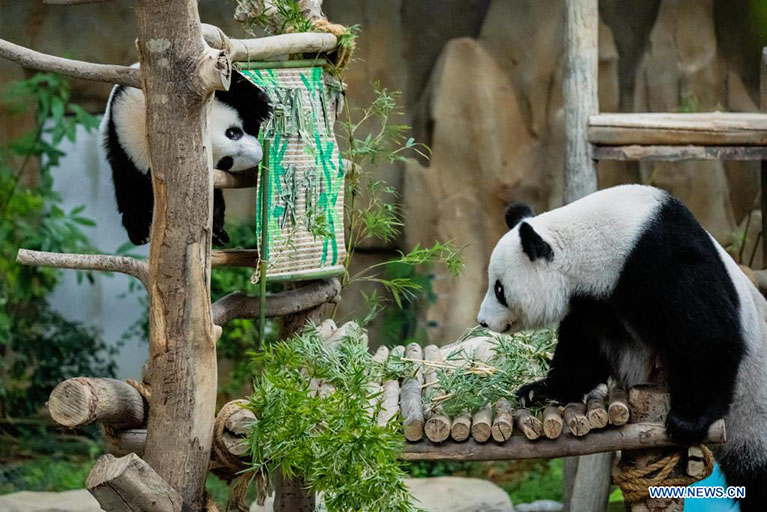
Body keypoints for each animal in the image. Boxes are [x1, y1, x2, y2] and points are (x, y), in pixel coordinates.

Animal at [100, 72, 272, 246]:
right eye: (225, 161)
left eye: (232, 132)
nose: (258, 155)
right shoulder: (123, 152)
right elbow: (133, 188)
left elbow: (234, 85)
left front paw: (262, 106)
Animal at [480, 183, 767, 508]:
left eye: (499, 289)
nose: (483, 321)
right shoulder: (595, 301)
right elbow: (582, 350)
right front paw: (538, 390)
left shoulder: (661, 258)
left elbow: (707, 334)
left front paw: (688, 419)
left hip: (752, 411)